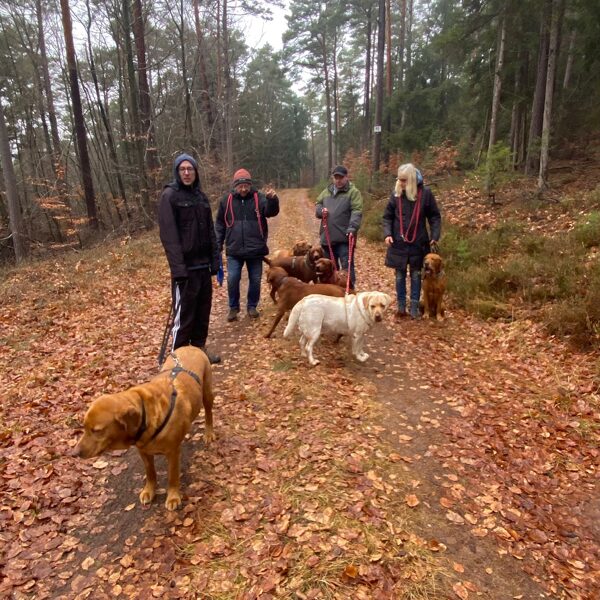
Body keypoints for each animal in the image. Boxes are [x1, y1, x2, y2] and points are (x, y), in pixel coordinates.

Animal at [72, 346, 215, 510]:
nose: (74, 453)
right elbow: (150, 473)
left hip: (207, 393)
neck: (147, 417)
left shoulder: (172, 453)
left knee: (209, 412)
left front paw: (173, 496)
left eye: (96, 430)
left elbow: (172, 477)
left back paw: (209, 433)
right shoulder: (143, 452)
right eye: (83, 427)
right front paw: (149, 491)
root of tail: (190, 346)